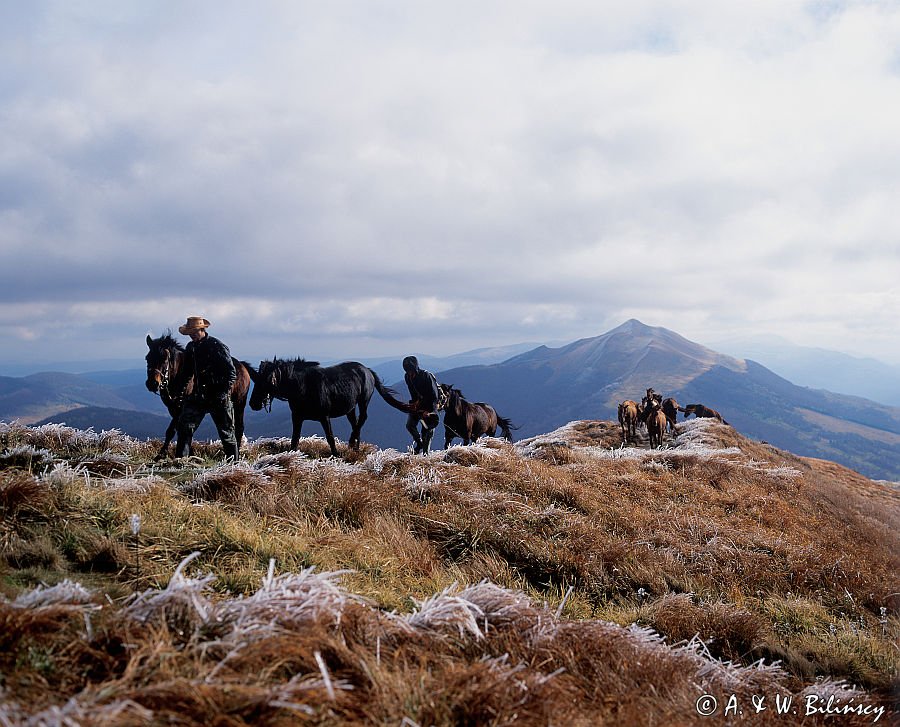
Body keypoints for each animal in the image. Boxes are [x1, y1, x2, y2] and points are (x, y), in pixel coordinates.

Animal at [248, 356, 414, 456]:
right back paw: (355, 446)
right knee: (356, 422)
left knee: (363, 418)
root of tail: (367, 370)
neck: (303, 387)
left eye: (264, 382)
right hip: (350, 408)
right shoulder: (297, 417)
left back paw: (351, 442)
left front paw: (335, 454)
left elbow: (330, 437)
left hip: (364, 400)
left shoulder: (324, 417)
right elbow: (295, 439)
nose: (252, 404)